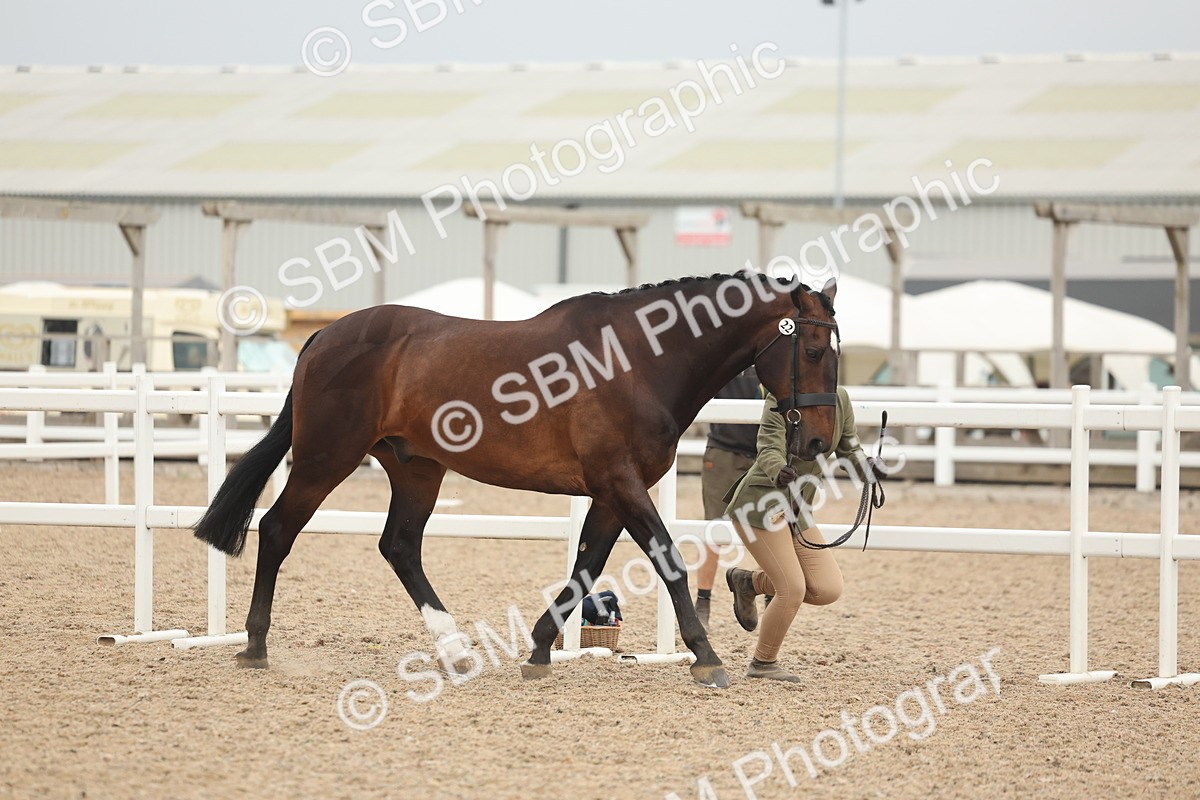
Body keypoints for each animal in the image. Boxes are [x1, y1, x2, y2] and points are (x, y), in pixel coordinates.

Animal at [193, 271, 840, 689]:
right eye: (811, 349)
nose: (817, 442)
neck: (637, 361)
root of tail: (323, 337)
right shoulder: (621, 484)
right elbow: (668, 560)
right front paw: (706, 657)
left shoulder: (610, 494)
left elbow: (586, 566)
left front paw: (539, 648)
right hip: (326, 459)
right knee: (278, 529)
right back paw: (254, 646)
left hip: (416, 468)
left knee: (399, 546)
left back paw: (454, 651)